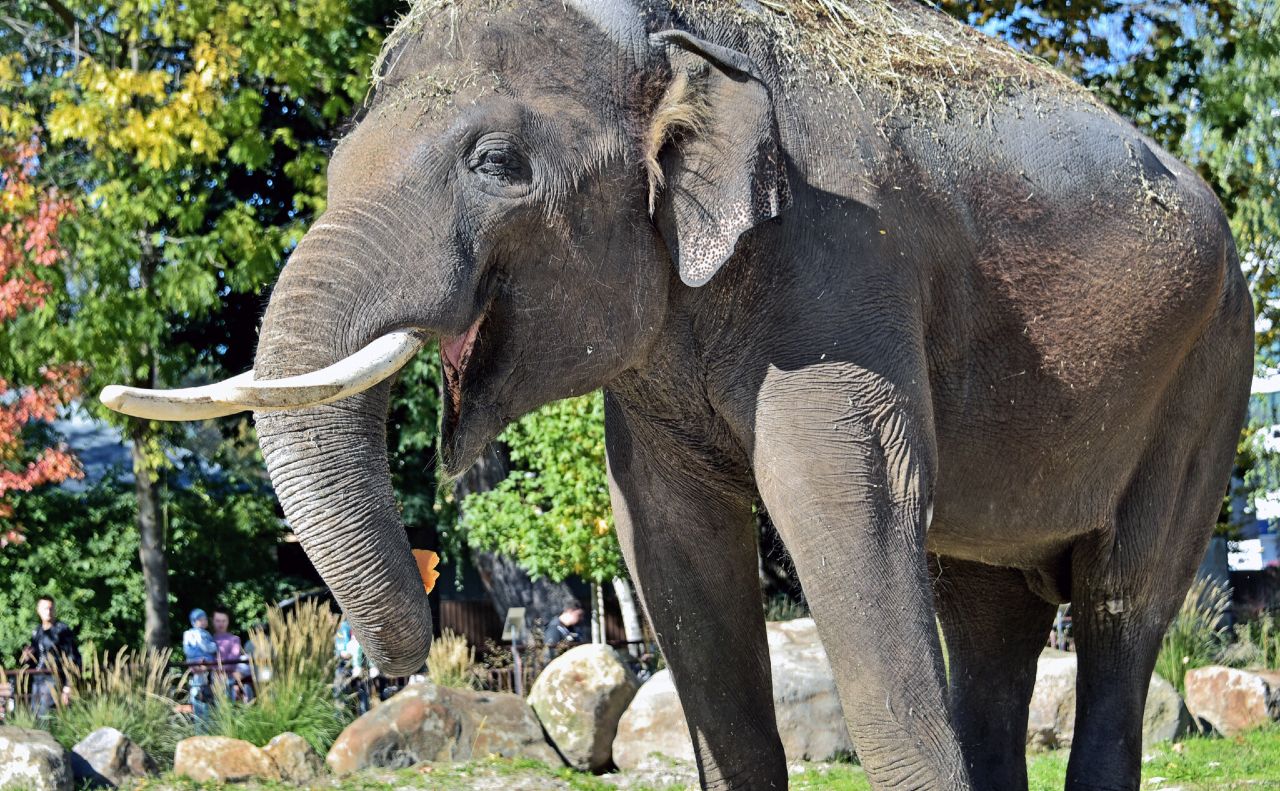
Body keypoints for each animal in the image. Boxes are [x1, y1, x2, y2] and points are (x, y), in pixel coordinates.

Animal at [102, 1, 1254, 789]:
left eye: (497, 162)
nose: (395, 661)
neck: (674, 34)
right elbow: (670, 546)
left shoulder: (844, 266)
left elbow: (842, 506)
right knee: (987, 606)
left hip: (1211, 369)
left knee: (1120, 598)